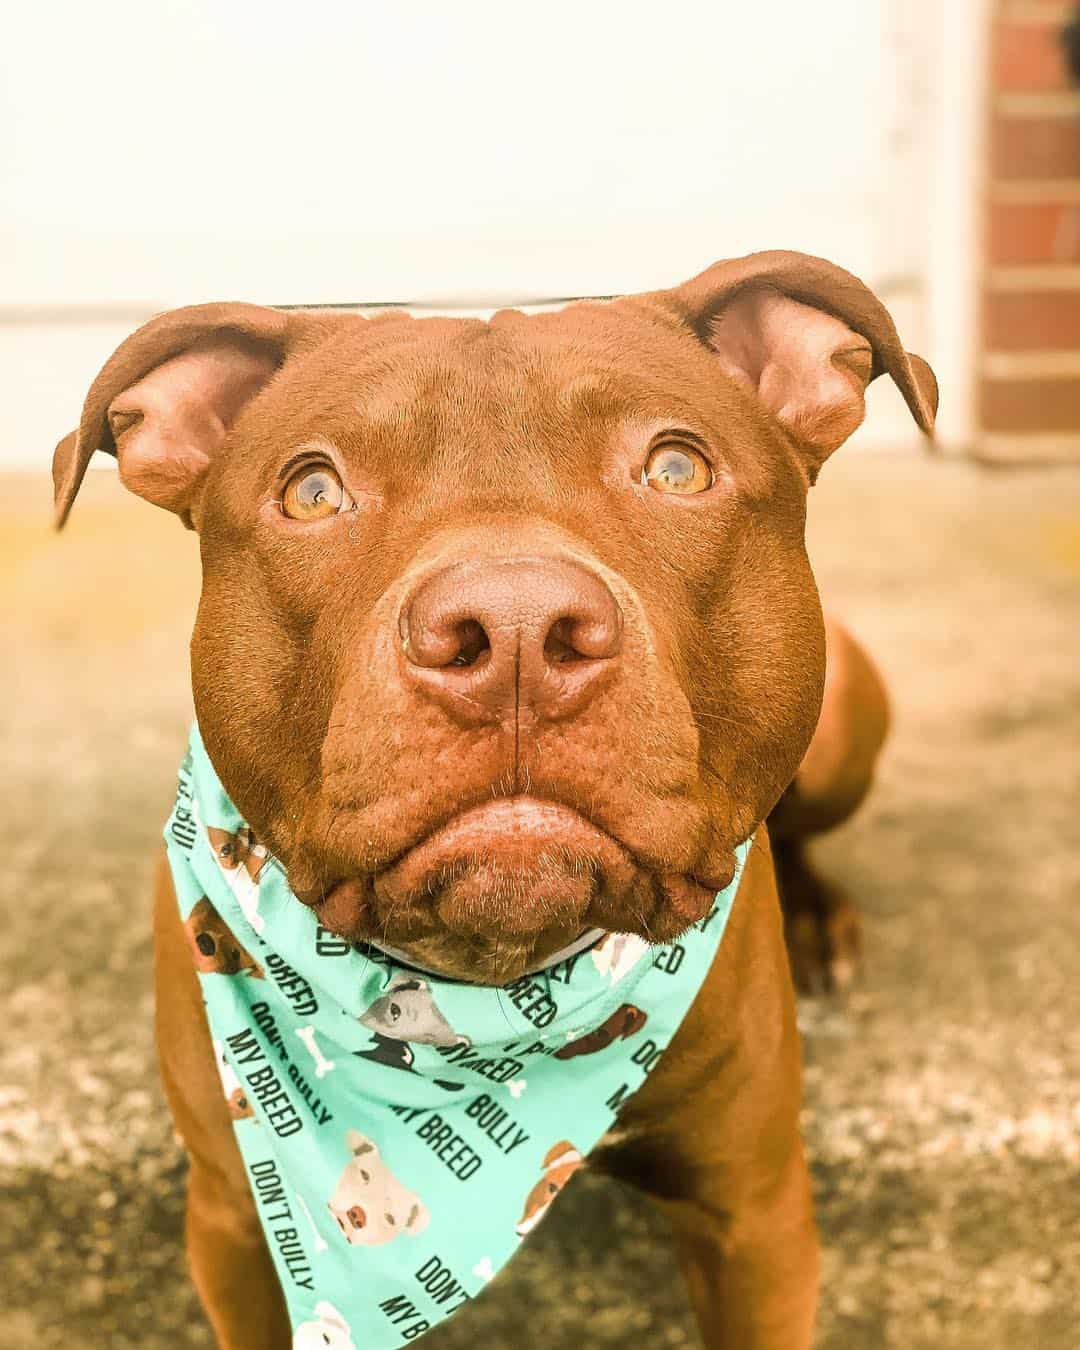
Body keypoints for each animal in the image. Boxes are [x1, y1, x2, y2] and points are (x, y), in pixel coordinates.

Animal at [50, 248, 934, 1344]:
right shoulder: (234, 1220)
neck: (487, 997)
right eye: (311, 491)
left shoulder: (752, 1213)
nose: (513, 626)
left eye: (676, 468)